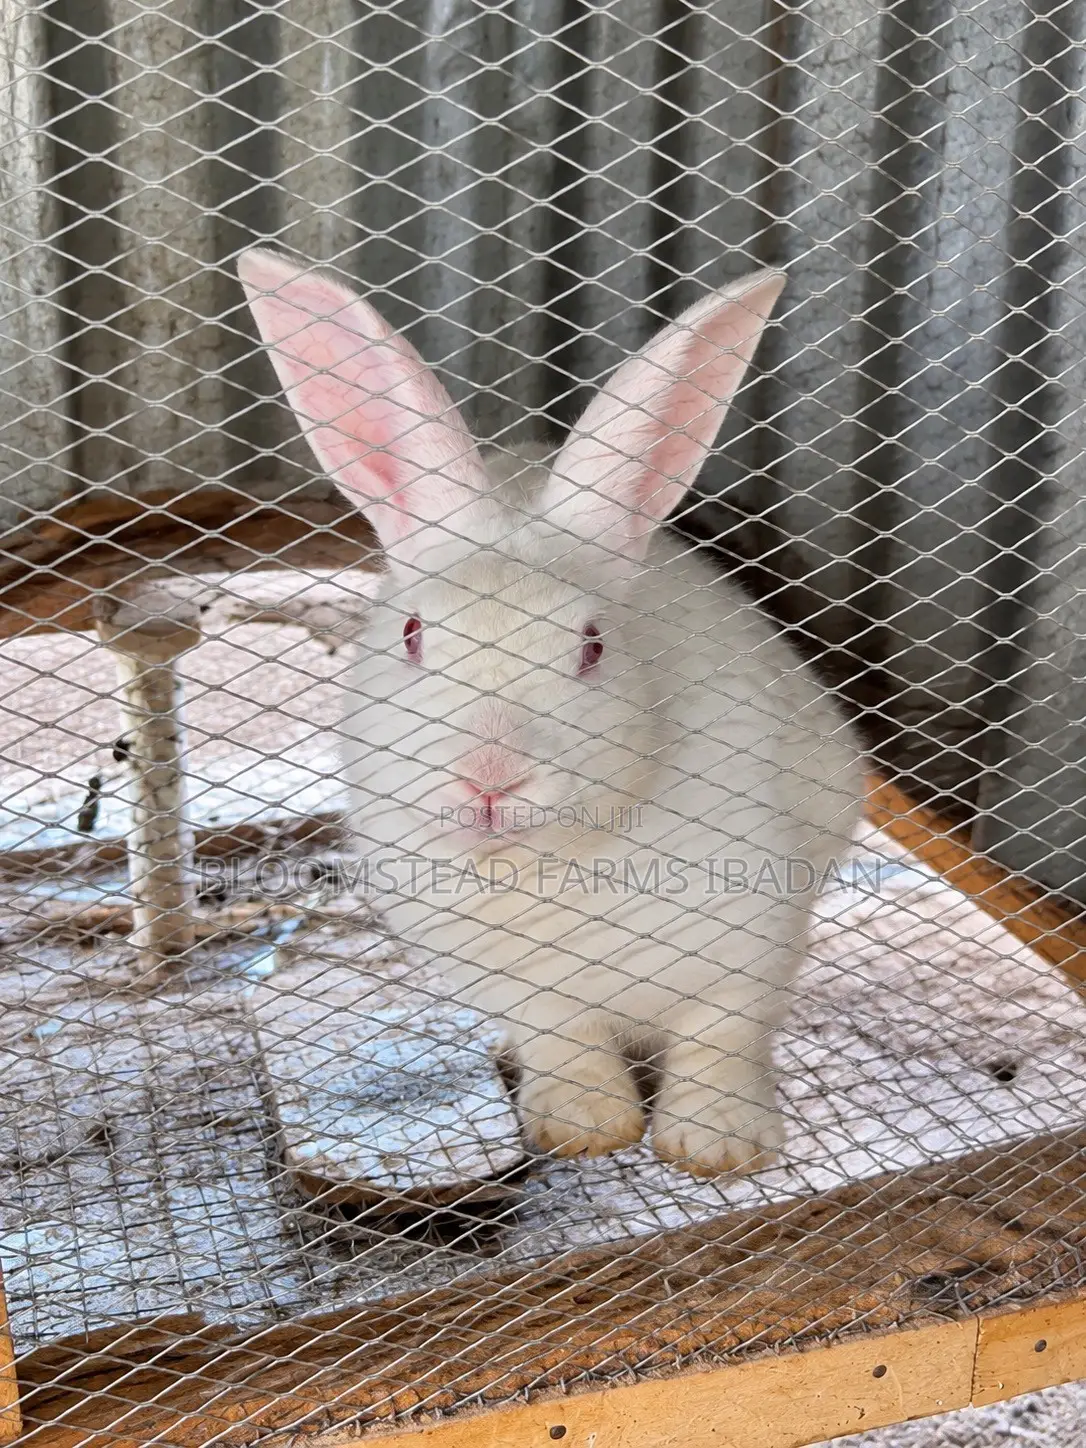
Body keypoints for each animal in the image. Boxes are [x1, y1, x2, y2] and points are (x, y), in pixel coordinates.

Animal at [239, 248, 865, 1178]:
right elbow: (567, 1045)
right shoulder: (526, 989)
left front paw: (718, 1145)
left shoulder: (750, 947)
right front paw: (586, 1128)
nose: (490, 782)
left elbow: (720, 1043)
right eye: (412, 634)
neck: (545, 865)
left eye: (592, 646)